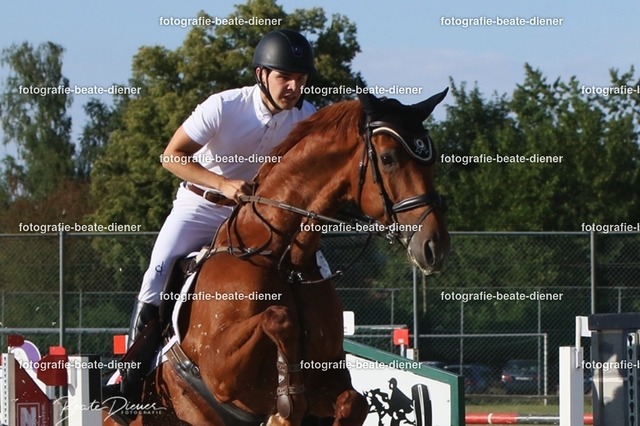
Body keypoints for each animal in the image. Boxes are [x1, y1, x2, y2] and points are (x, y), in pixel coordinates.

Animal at [104, 82, 450, 426]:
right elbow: (278, 318)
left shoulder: (328, 376)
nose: (435, 247)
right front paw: (286, 399)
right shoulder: (219, 370)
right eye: (388, 158)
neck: (285, 261)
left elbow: (354, 402)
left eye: (432, 162)